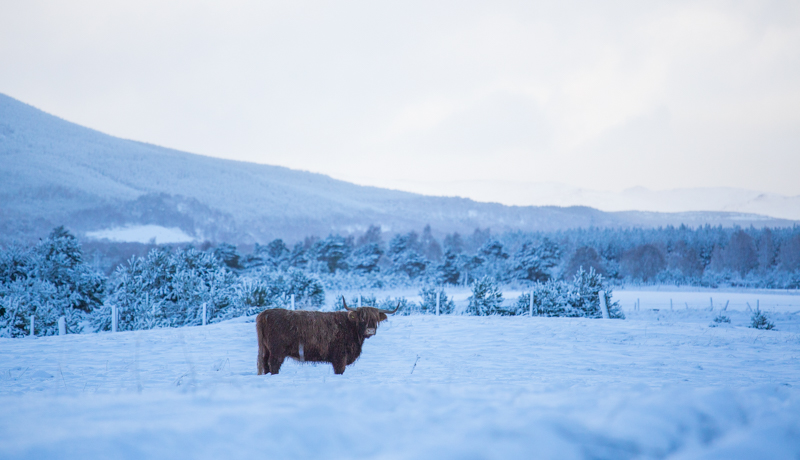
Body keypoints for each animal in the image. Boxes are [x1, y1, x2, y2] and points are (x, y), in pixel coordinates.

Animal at [256, 296, 396, 376]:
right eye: (362, 318)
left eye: (375, 319)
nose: (370, 330)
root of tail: (264, 314)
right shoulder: (339, 357)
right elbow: (339, 371)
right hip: (277, 351)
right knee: (273, 364)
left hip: (266, 349)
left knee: (265, 364)